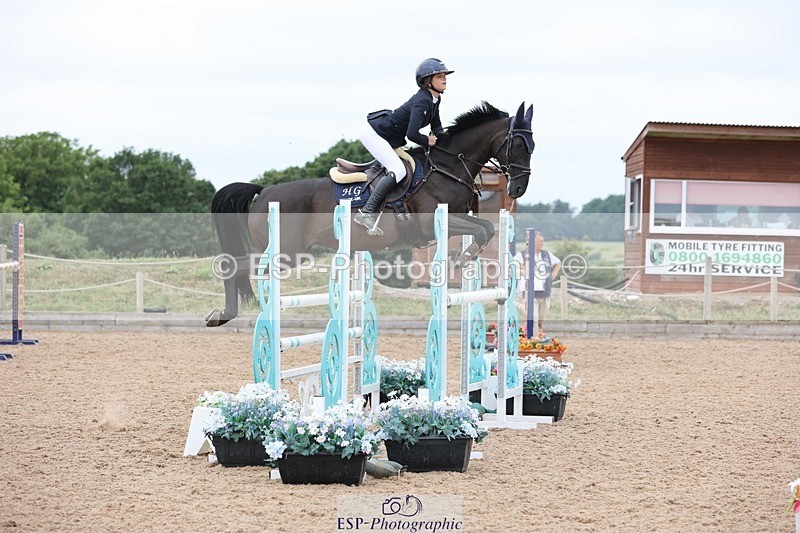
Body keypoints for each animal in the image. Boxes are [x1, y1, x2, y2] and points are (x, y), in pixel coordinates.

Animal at [206, 101, 534, 327]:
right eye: (518, 143)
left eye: (532, 143)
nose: (518, 188)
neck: (447, 166)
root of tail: (264, 191)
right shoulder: (430, 222)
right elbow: (480, 230)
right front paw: (460, 258)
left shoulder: (458, 217)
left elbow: (486, 228)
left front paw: (465, 257)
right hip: (285, 252)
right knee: (231, 265)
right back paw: (221, 315)